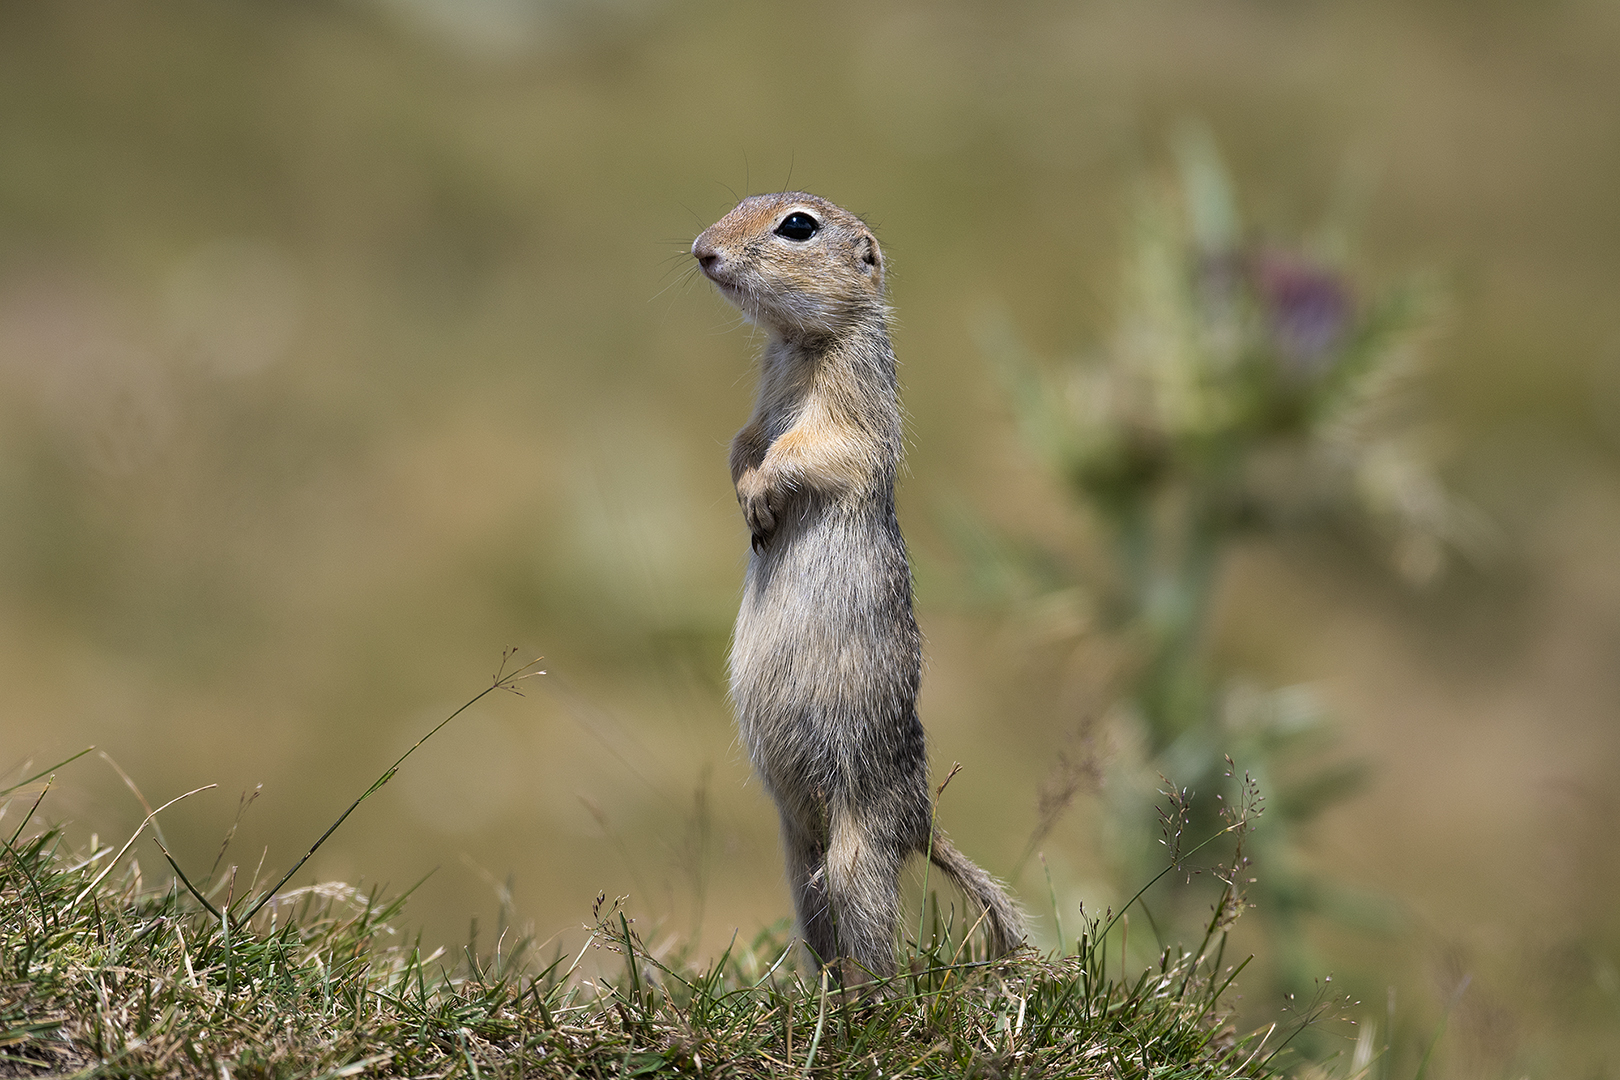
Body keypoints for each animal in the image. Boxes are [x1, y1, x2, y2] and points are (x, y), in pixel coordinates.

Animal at [693, 191, 1023, 977]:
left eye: (797, 226)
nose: (701, 250)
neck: (799, 344)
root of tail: (920, 824)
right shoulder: (759, 408)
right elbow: (742, 443)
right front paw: (748, 496)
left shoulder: (853, 410)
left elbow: (811, 450)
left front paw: (765, 493)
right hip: (795, 851)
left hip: (856, 849)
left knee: (872, 938)